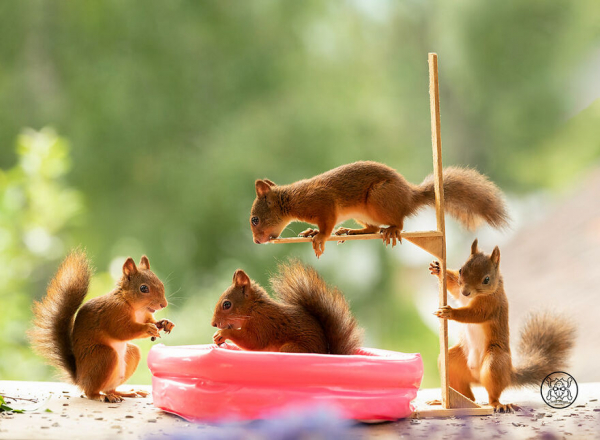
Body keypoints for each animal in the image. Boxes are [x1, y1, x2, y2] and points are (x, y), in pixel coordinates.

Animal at [211, 262, 360, 354]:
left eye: (227, 304)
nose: (213, 324)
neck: (253, 309)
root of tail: (326, 353)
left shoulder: (263, 323)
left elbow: (253, 342)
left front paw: (223, 333)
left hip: (291, 348)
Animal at [247, 161, 506, 258]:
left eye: (255, 220)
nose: (256, 241)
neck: (292, 200)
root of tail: (409, 197)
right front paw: (311, 232)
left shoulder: (323, 202)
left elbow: (327, 224)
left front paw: (319, 237)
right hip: (363, 214)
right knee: (372, 228)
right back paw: (351, 231)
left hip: (379, 199)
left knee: (397, 223)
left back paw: (391, 229)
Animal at [428, 239, 576, 410]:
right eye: (460, 270)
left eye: (486, 279)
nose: (466, 292)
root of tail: (508, 374)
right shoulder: (458, 290)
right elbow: (452, 285)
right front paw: (438, 268)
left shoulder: (491, 305)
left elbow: (474, 314)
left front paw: (450, 312)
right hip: (453, 362)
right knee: (468, 396)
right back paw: (445, 401)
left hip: (495, 362)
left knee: (493, 391)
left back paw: (498, 404)